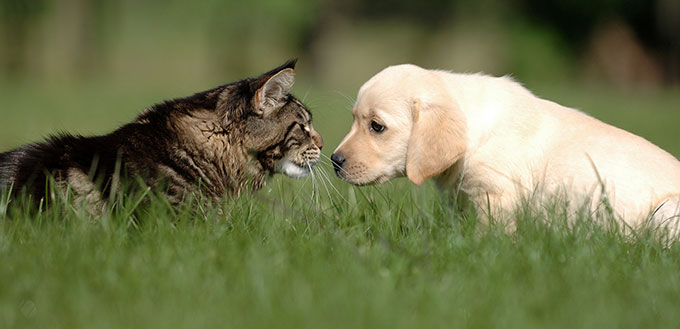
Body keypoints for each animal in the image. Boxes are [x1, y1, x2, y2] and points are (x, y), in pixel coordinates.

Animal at [332, 64, 680, 233]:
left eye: (376, 126)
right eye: (353, 120)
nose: (334, 160)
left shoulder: (496, 197)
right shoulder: (462, 200)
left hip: (666, 213)